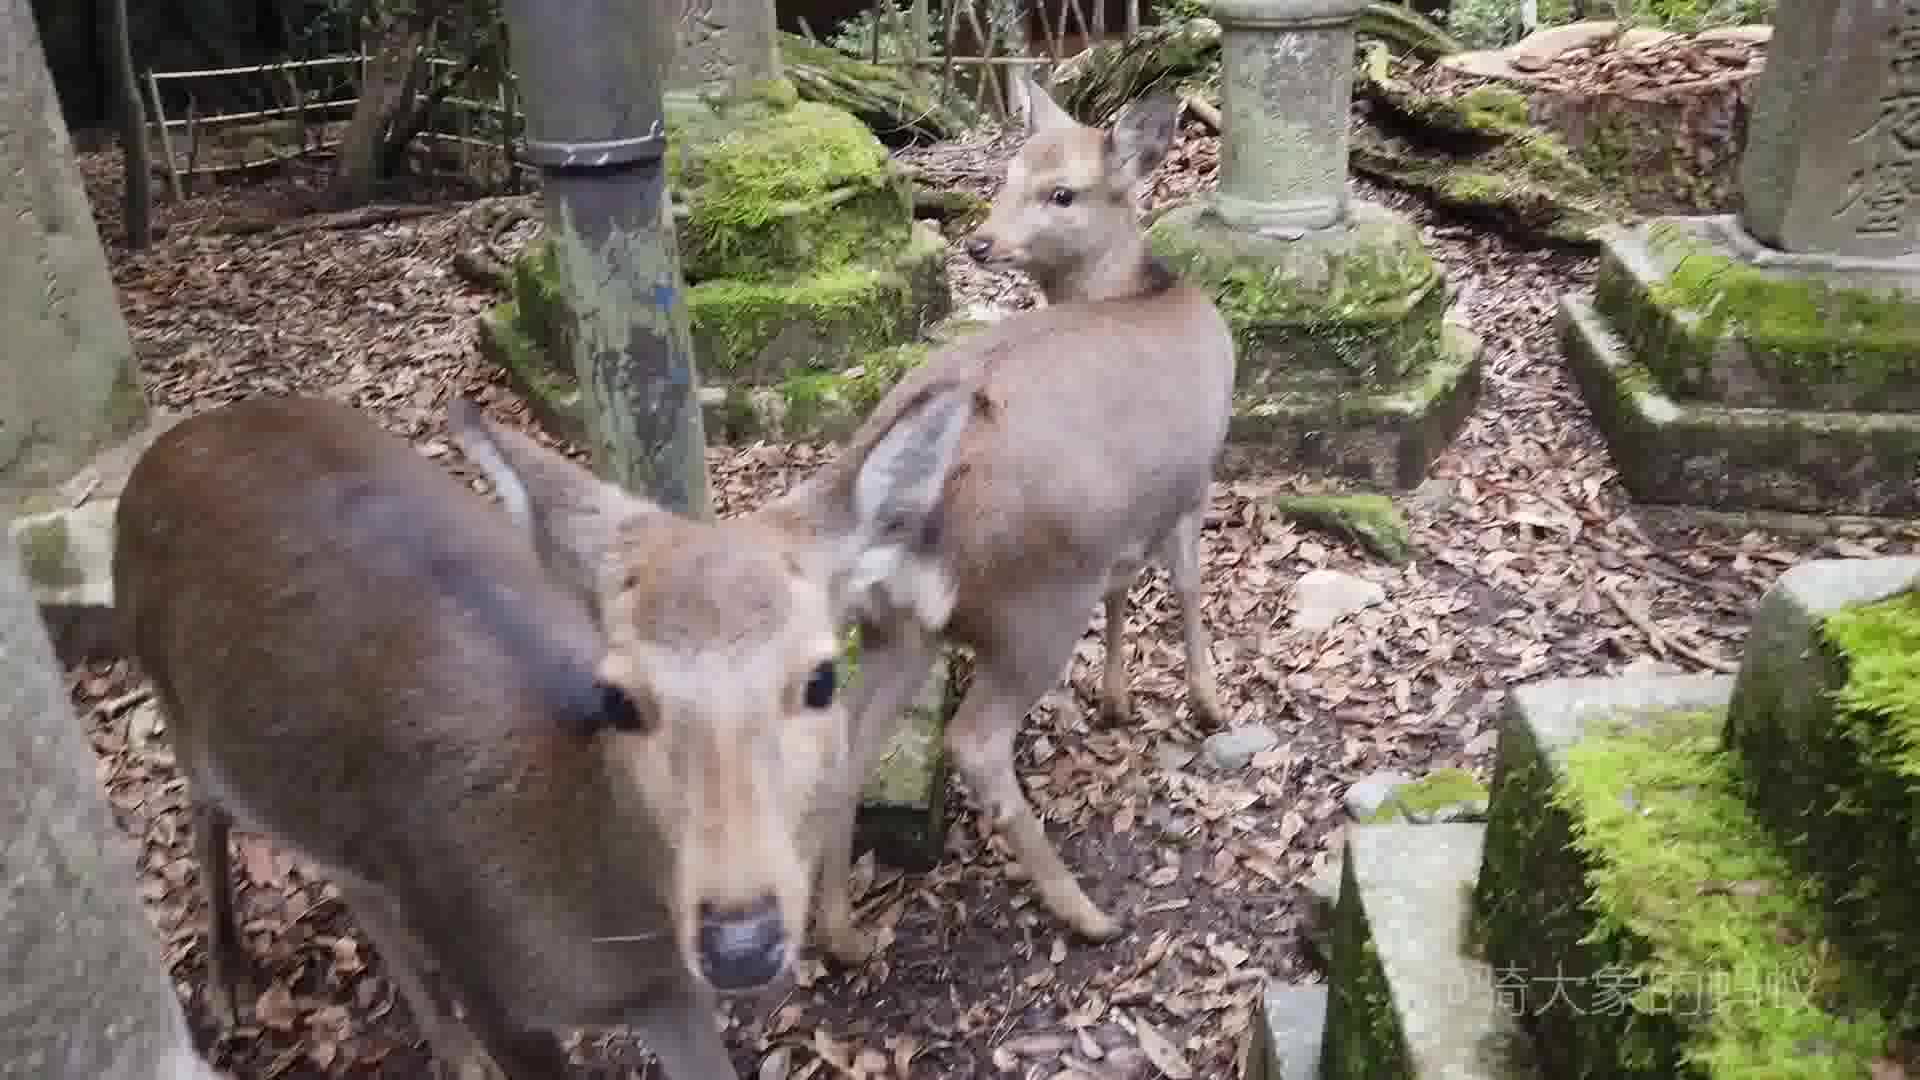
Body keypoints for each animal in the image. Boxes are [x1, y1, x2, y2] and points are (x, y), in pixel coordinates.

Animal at [107, 386, 975, 1076]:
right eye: (619, 699)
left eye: (822, 678)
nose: (740, 940)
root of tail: (158, 455)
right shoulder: (491, 982)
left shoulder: (665, 992)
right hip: (176, 702)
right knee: (203, 804)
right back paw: (228, 983)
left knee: (347, 874)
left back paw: (448, 1050)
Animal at [791, 77, 1228, 957]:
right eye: (1007, 174)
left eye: (1060, 191)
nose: (982, 243)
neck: (1147, 291)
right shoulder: (1193, 480)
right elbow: (1189, 587)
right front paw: (1208, 701)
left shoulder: (1128, 521)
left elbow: (1126, 590)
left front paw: (1117, 700)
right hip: (1031, 602)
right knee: (974, 741)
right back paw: (1085, 911)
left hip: (899, 624)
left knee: (850, 740)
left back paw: (845, 937)